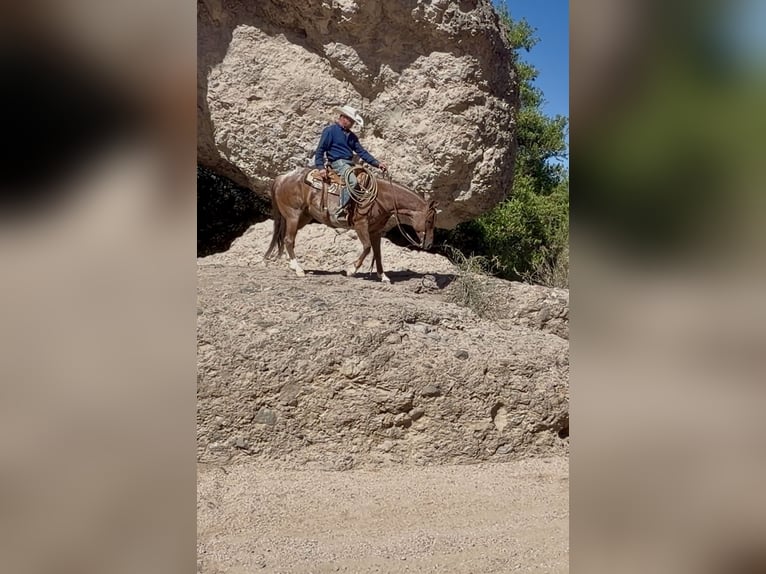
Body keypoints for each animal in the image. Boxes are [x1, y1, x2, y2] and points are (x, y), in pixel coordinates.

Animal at [264, 166, 437, 282]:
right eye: (429, 220)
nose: (429, 244)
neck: (380, 198)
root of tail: (282, 178)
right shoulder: (361, 226)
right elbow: (367, 248)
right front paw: (351, 270)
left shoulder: (376, 231)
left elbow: (378, 253)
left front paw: (383, 276)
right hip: (293, 215)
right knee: (288, 240)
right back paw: (299, 270)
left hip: (302, 217)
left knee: (287, 239)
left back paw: (293, 266)